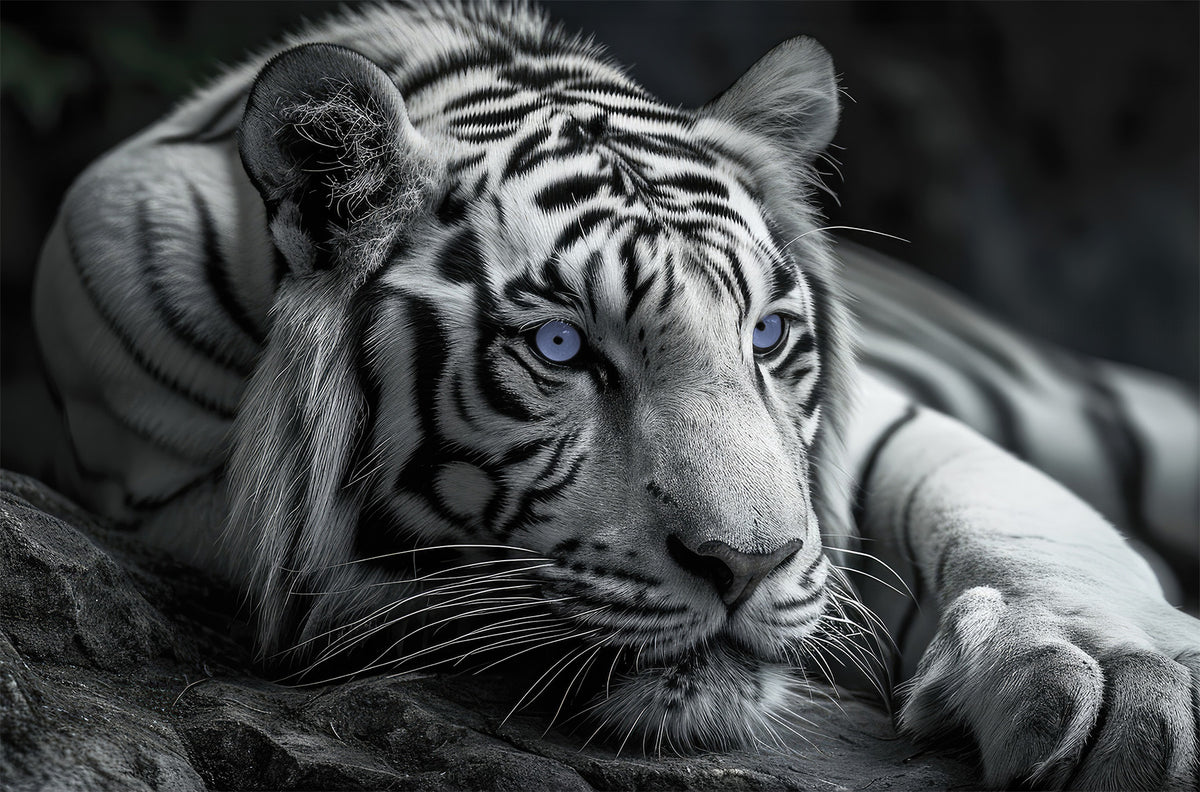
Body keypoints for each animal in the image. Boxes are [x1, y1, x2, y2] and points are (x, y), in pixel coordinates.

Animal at [31, 2, 1199, 788]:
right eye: (561, 346)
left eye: (767, 335)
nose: (747, 565)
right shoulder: (163, 483)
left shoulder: (889, 430)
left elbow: (1013, 517)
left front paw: (1125, 687)